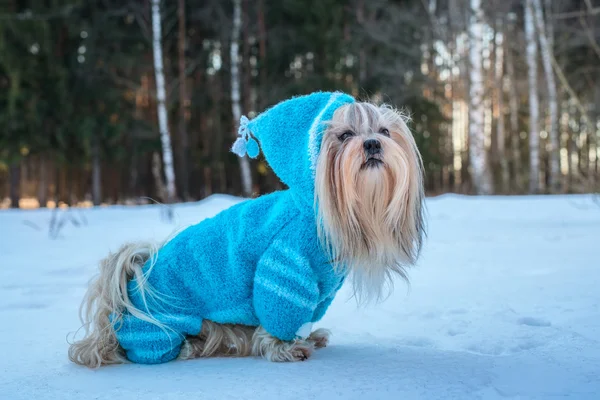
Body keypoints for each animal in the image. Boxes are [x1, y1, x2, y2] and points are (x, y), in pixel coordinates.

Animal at [69, 91, 426, 368]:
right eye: (345, 135)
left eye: (384, 130)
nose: (372, 144)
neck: (317, 214)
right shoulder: (284, 269)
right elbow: (278, 311)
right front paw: (286, 348)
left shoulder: (319, 290)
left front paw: (308, 336)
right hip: (161, 328)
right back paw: (190, 348)